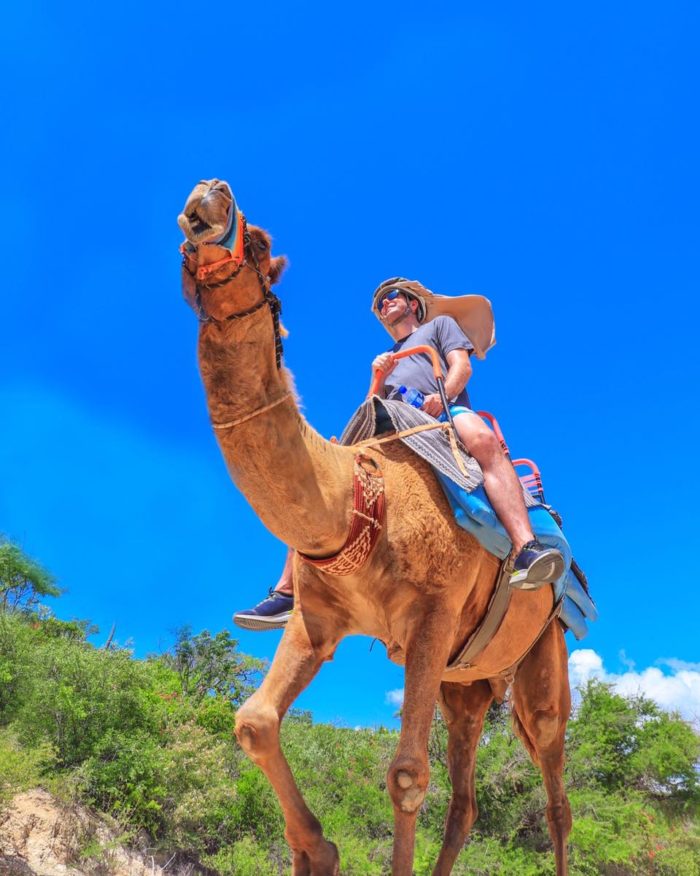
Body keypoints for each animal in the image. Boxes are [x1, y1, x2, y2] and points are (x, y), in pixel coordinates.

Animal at [177, 179, 572, 876]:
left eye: (261, 245)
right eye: (181, 244)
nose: (209, 195)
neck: (365, 498)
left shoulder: (432, 615)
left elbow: (408, 773)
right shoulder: (320, 617)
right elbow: (254, 721)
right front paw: (317, 851)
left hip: (544, 655)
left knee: (556, 791)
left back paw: (534, 558)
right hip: (465, 683)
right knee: (465, 800)